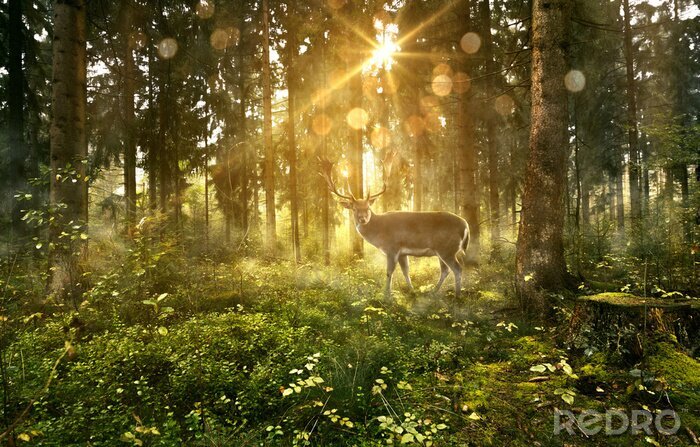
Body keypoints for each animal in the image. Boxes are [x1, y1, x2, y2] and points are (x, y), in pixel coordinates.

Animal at [319, 157, 469, 300]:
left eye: (368, 207)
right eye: (355, 209)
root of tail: (465, 225)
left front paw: (387, 295)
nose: (363, 219)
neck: (379, 232)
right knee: (445, 270)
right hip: (442, 251)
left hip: (447, 248)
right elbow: (406, 271)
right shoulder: (403, 252)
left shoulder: (392, 247)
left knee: (457, 268)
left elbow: (389, 272)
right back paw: (434, 292)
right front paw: (412, 291)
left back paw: (457, 296)